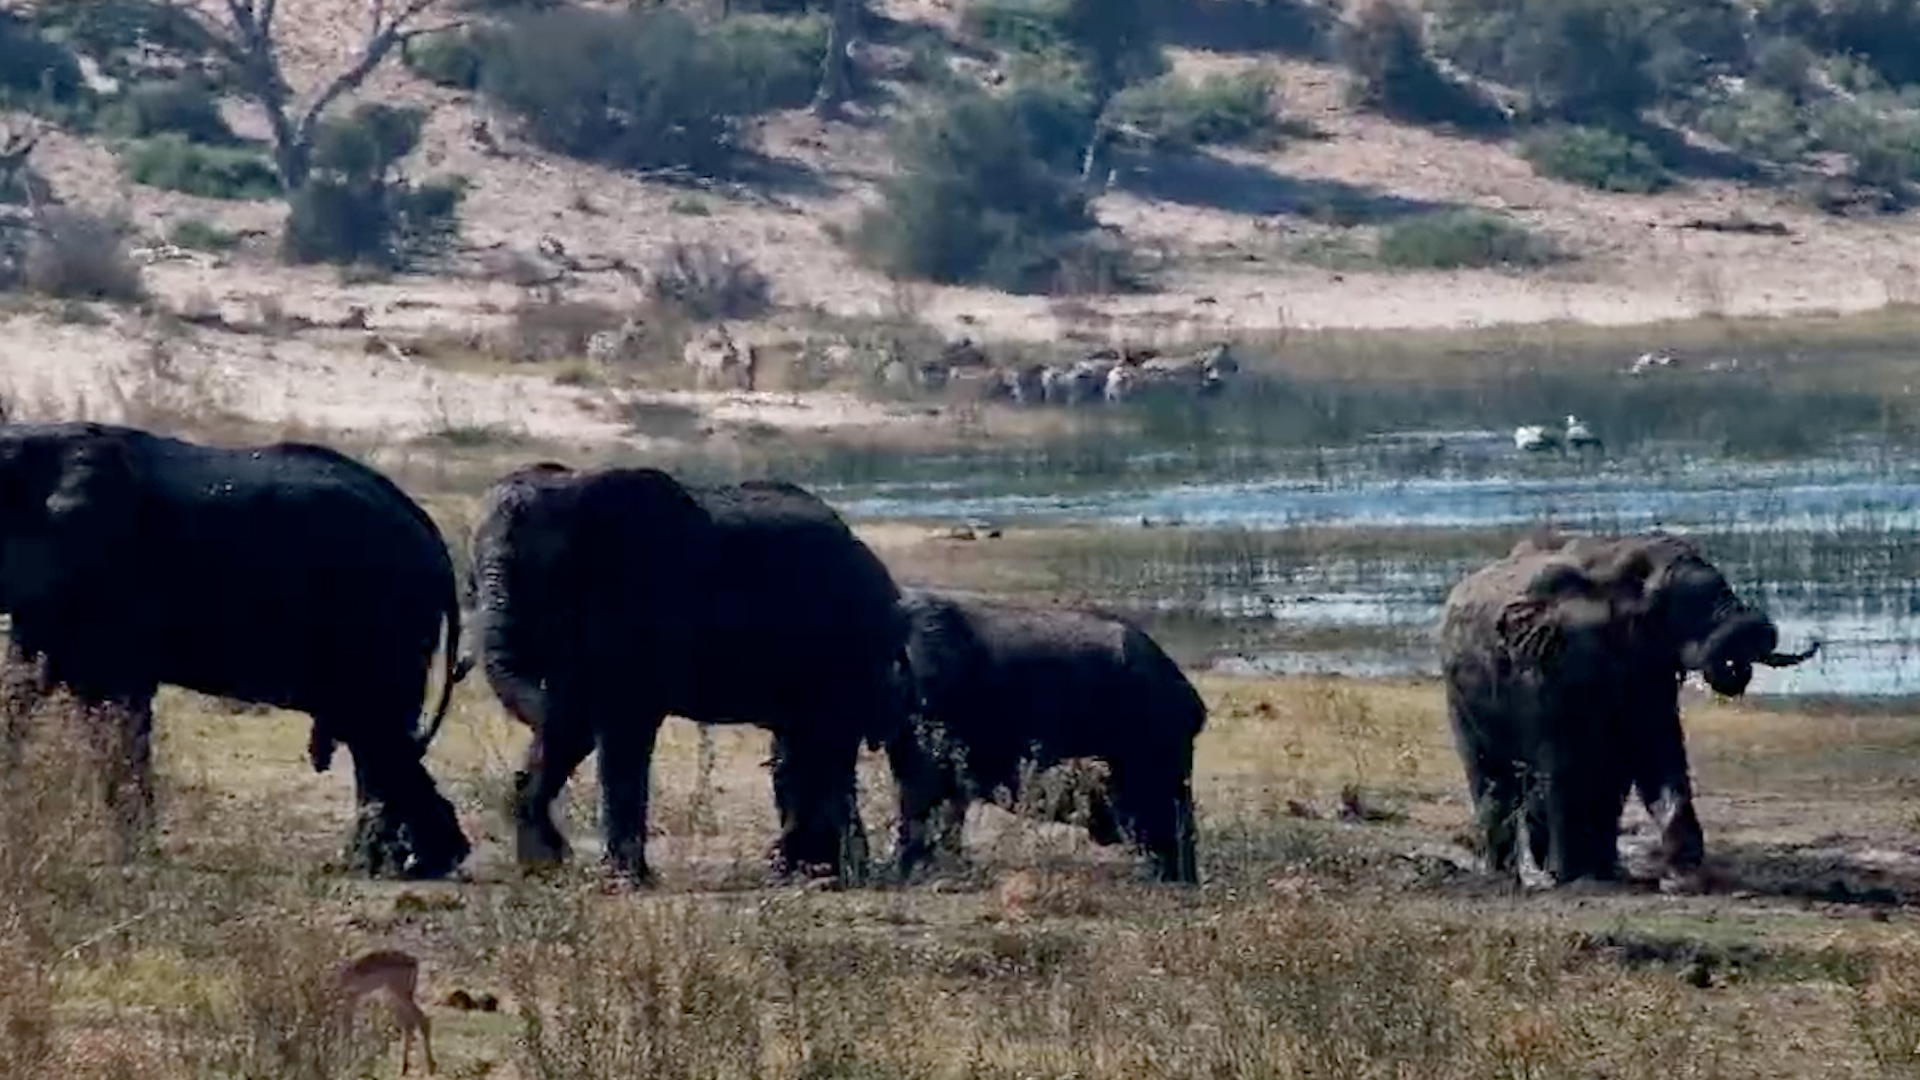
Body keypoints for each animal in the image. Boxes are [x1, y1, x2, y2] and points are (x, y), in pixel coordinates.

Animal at [0, 422, 471, 878]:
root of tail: (435, 541)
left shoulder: (107, 578)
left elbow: (117, 705)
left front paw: (134, 856)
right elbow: (29, 684)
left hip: (383, 618)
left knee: (378, 732)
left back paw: (395, 865)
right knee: (377, 738)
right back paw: (404, 862)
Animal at [466, 462, 909, 886]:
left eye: (542, 574)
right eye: (471, 580)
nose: (565, 853)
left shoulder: (640, 609)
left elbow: (618, 728)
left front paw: (628, 880)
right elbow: (570, 726)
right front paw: (544, 867)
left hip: (848, 647)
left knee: (825, 744)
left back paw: (829, 872)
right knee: (809, 748)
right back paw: (815, 870)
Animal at [1439, 529, 1817, 888]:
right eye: (1660, 603)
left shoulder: (1648, 671)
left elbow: (1660, 756)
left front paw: (1684, 879)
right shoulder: (1547, 667)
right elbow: (1560, 765)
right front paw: (1565, 878)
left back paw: (1601, 871)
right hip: (1458, 694)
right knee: (1493, 779)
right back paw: (1505, 871)